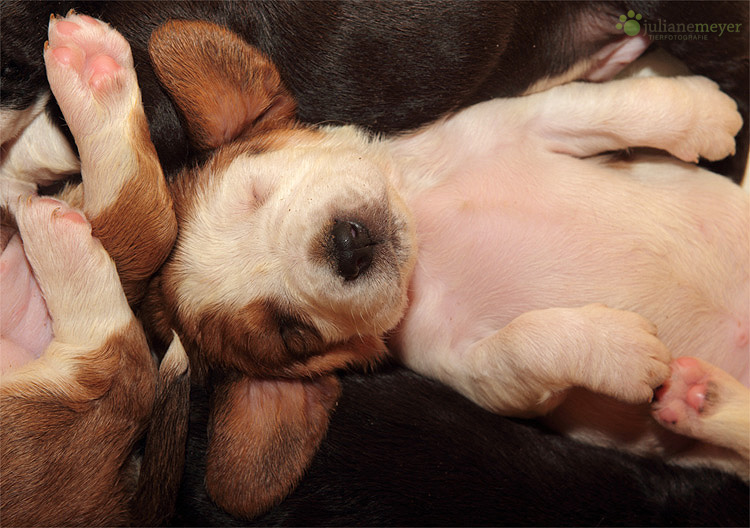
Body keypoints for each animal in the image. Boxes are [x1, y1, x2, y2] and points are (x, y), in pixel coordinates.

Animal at [142, 19, 750, 516]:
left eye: (257, 189)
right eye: (291, 333)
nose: (346, 247)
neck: (426, 240)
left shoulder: (520, 120)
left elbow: (604, 107)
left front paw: (703, 112)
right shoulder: (473, 371)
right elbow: (526, 346)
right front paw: (618, 350)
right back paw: (697, 396)